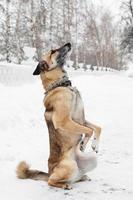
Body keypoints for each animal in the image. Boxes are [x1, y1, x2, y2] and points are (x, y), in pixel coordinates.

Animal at [16, 43, 101, 190]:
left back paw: (82, 177)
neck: (62, 85)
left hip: (92, 160)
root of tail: (49, 172)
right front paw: (83, 144)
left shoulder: (81, 120)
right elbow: (89, 130)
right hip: (69, 166)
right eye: (53, 51)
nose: (69, 43)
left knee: (74, 178)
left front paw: (95, 144)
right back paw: (65, 185)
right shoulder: (64, 121)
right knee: (51, 181)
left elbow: (97, 128)